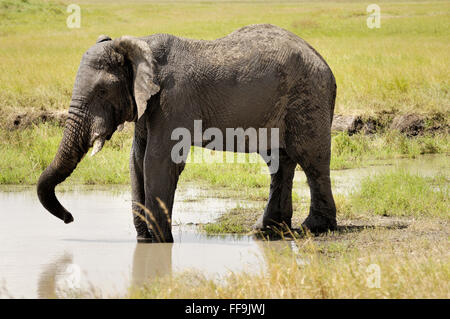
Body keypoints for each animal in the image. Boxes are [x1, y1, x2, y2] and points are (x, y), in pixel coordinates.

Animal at [36, 23, 338, 244]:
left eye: (101, 91)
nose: (69, 218)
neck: (139, 45)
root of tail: (321, 59)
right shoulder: (145, 104)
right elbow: (137, 161)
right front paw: (145, 241)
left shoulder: (174, 99)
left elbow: (157, 161)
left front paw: (161, 242)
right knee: (279, 161)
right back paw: (266, 231)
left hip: (309, 94)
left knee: (311, 158)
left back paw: (314, 228)